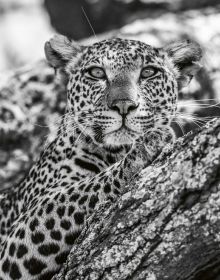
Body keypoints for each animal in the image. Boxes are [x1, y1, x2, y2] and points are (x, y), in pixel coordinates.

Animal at [0, 35, 202, 280]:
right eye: (96, 73)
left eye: (148, 72)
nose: (124, 105)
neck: (117, 151)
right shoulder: (17, 238)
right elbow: (87, 187)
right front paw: (147, 145)